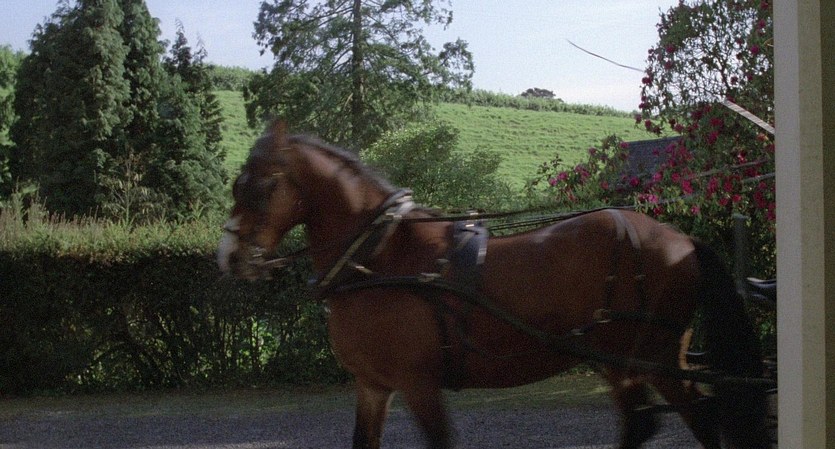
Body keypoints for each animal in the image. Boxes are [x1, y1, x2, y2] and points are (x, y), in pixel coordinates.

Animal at [217, 122, 769, 449]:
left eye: (261, 185)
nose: (230, 257)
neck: (379, 257)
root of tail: (681, 239)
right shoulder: (374, 386)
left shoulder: (419, 384)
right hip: (626, 360)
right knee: (648, 422)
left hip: (648, 355)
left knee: (696, 418)